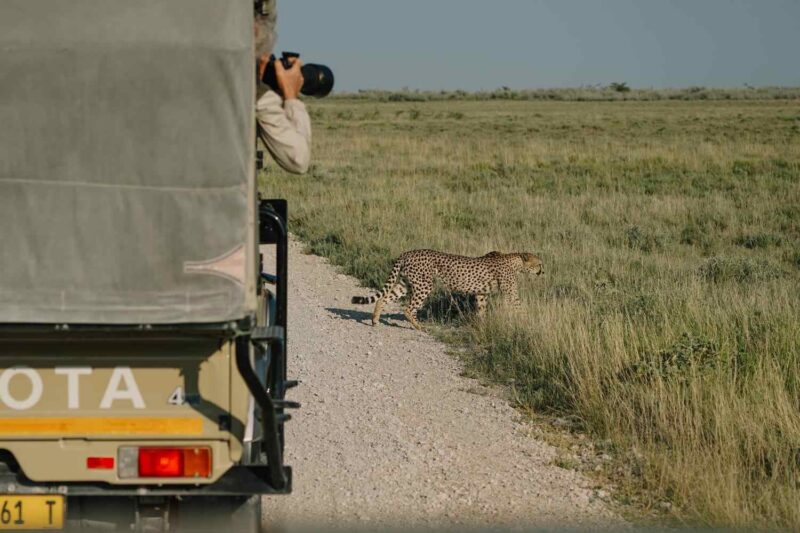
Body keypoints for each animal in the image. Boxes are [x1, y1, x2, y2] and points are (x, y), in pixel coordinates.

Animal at [351, 250, 544, 330]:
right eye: (539, 264)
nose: (543, 271)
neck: (515, 261)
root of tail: (407, 252)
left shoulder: (481, 294)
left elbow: (481, 310)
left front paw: (482, 325)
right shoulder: (510, 294)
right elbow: (519, 307)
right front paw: (528, 322)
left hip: (406, 283)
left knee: (383, 298)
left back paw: (375, 320)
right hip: (424, 285)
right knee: (408, 308)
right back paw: (420, 327)